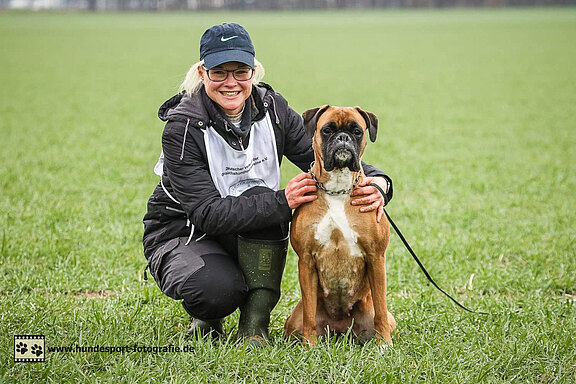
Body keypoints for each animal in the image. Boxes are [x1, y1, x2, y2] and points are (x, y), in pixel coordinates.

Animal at [284, 106, 396, 346]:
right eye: (327, 130)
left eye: (357, 131)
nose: (343, 138)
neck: (337, 189)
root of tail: (340, 328)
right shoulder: (306, 261)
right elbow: (309, 313)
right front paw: (309, 345)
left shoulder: (376, 258)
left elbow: (381, 308)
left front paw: (384, 344)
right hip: (294, 322)